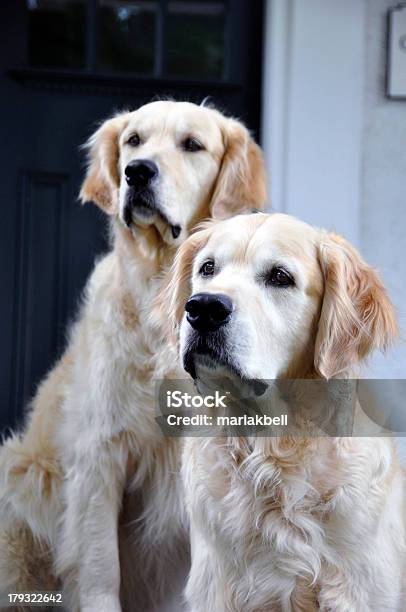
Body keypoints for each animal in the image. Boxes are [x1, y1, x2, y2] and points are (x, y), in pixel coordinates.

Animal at [0, 101, 266, 612]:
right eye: (133, 140)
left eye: (192, 144)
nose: (137, 172)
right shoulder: (101, 453)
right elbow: (101, 567)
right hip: (23, 478)